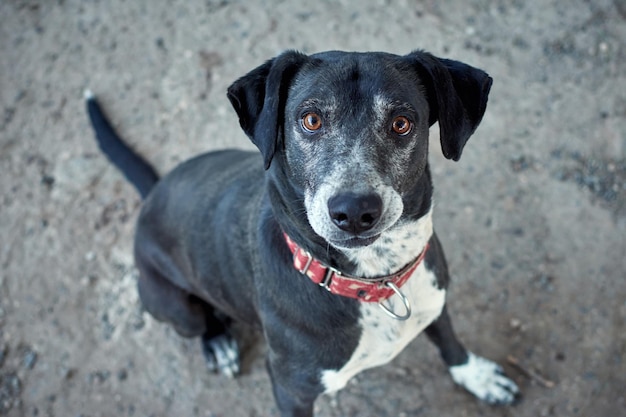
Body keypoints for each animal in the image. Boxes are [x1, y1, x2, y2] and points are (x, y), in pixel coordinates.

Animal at [88, 49, 516, 416]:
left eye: (401, 123)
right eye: (311, 120)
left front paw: (476, 375)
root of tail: (153, 193)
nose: (354, 211)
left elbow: (449, 339)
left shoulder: (435, 299)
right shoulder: (291, 389)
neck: (376, 280)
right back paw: (219, 343)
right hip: (175, 305)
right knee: (199, 321)